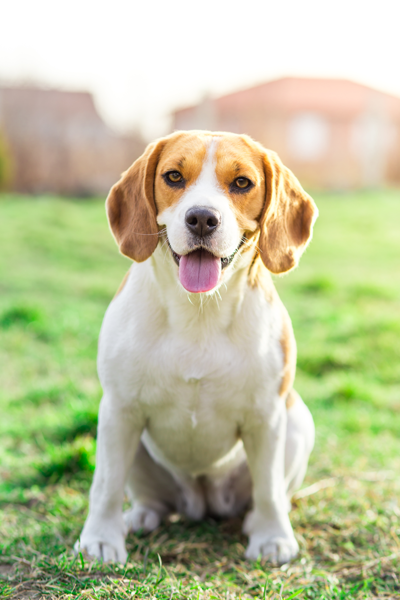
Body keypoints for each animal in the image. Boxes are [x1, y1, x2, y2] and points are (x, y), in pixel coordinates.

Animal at [75, 129, 318, 564]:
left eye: (242, 182)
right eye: (173, 176)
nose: (202, 217)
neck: (199, 311)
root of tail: (202, 501)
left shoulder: (267, 416)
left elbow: (270, 488)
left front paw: (272, 537)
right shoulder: (119, 409)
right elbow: (105, 483)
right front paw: (100, 539)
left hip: (296, 422)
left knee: (267, 493)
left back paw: (255, 522)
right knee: (148, 497)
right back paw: (140, 517)